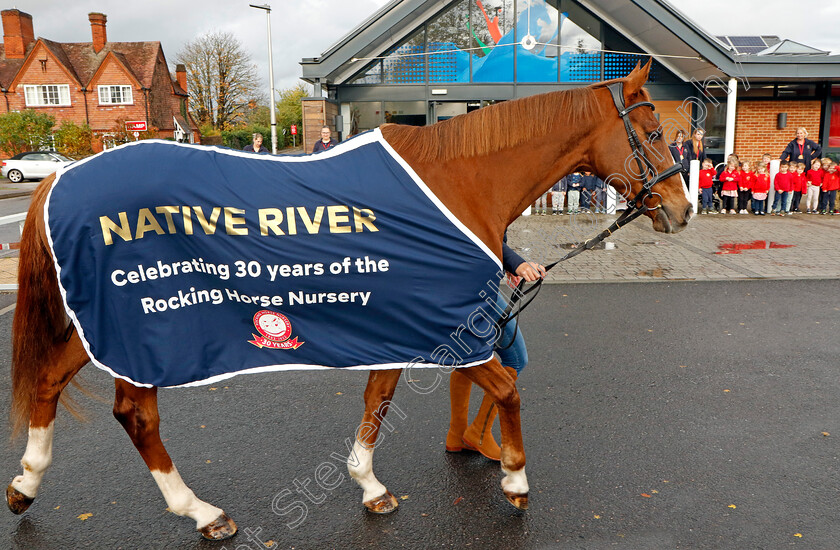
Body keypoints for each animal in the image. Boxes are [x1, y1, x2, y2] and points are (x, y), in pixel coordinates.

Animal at [4, 62, 688, 540]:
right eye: (656, 133)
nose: (681, 210)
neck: (456, 182)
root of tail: (60, 178)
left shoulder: (402, 326)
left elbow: (376, 401)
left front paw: (368, 484)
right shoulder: (448, 332)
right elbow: (507, 390)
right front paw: (516, 480)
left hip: (95, 325)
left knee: (49, 383)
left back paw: (26, 483)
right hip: (144, 330)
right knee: (135, 416)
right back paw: (199, 511)